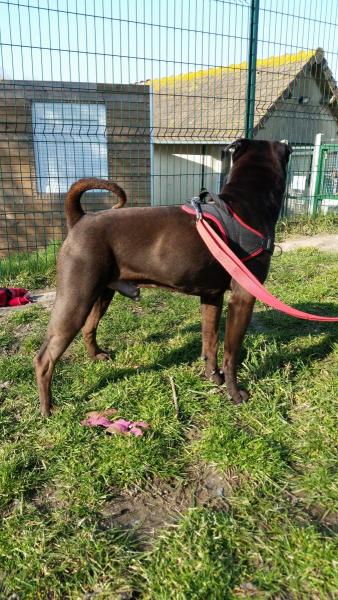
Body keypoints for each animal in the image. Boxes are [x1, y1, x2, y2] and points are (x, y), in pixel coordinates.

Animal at [35, 138, 294, 414]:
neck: (244, 204)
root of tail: (81, 219)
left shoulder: (212, 297)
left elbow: (210, 341)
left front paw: (212, 376)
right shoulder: (243, 298)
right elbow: (231, 353)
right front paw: (234, 393)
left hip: (102, 293)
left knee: (88, 327)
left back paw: (96, 356)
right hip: (76, 299)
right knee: (44, 358)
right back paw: (48, 409)